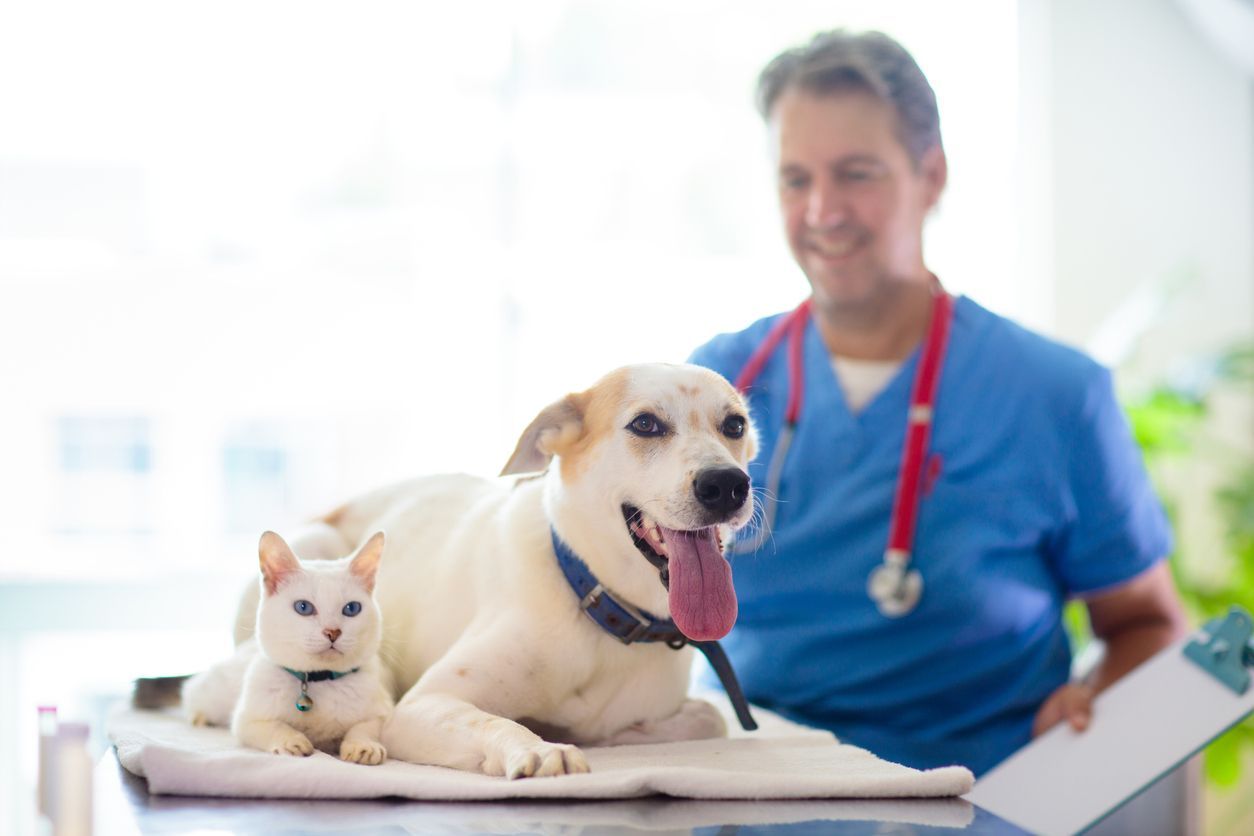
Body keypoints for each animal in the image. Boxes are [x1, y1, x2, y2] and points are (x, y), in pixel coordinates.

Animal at [183, 528, 391, 767]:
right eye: (303, 607)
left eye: (352, 609)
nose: (333, 632)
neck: (317, 681)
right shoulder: (246, 719)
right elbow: (274, 726)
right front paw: (291, 741)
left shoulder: (383, 709)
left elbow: (365, 726)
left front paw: (363, 746)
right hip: (214, 692)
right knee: (191, 692)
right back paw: (198, 717)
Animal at [231, 363, 752, 782]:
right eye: (645, 424)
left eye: (735, 424)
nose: (727, 484)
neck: (592, 598)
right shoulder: (420, 706)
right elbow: (494, 721)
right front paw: (539, 747)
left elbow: (708, 715)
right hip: (314, 546)